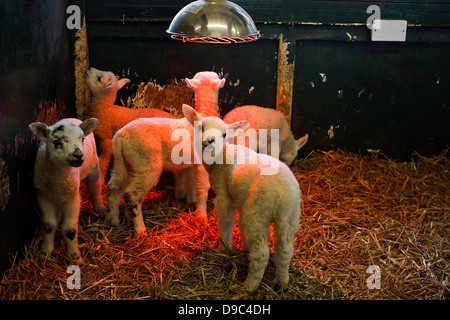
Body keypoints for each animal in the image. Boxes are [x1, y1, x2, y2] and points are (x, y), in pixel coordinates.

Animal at [29, 117, 103, 262]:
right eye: (57, 142)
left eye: (82, 139)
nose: (78, 155)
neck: (59, 183)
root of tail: (72, 118)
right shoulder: (44, 197)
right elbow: (49, 225)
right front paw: (45, 252)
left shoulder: (73, 199)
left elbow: (70, 230)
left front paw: (75, 256)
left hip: (93, 167)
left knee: (95, 186)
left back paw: (100, 208)